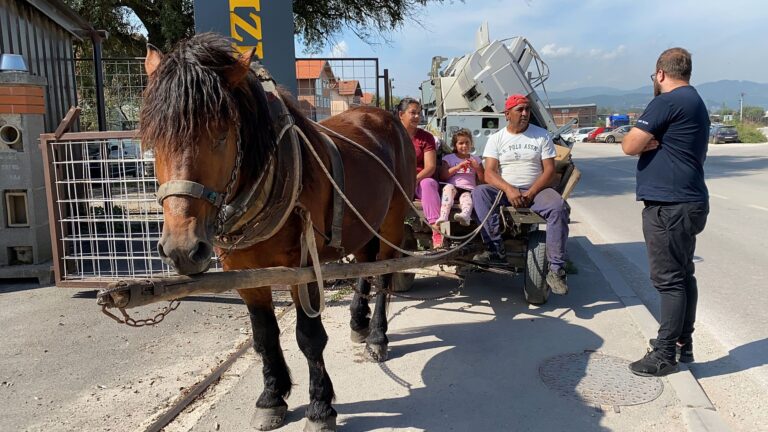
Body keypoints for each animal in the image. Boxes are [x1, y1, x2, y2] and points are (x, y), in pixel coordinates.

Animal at [138, 34, 414, 432]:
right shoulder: (243, 272)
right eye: (153, 138)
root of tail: (384, 116)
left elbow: (309, 338)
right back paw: (358, 323)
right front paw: (271, 396)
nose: (182, 248)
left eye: (221, 135)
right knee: (365, 265)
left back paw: (377, 336)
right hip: (363, 222)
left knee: (385, 273)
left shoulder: (304, 268)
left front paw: (320, 406)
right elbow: (264, 335)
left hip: (393, 216)